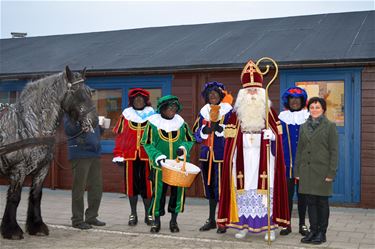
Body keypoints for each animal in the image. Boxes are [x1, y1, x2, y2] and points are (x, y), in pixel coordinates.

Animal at [0, 65, 98, 239]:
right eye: (76, 92)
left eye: (89, 91)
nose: (94, 121)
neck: (31, 125)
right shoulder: (18, 170)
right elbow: (14, 197)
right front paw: (12, 230)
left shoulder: (42, 168)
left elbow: (36, 196)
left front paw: (37, 226)